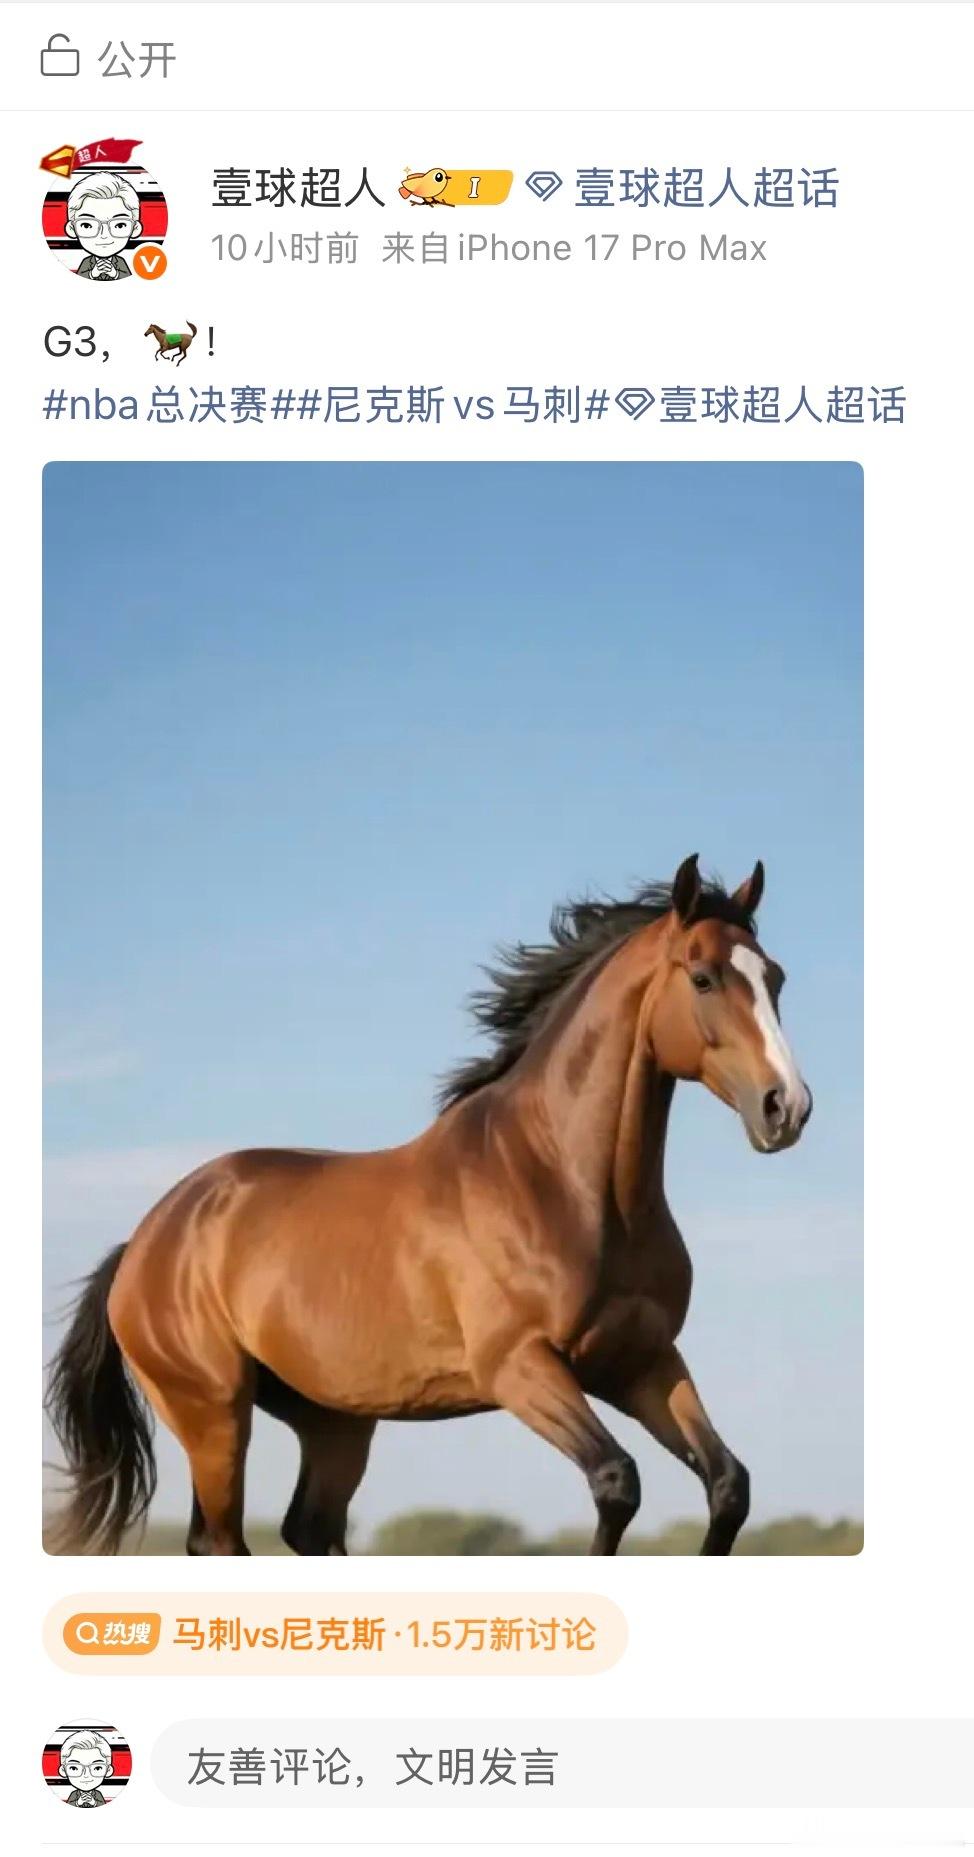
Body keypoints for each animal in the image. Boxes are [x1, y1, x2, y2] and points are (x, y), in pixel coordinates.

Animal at [46, 854, 812, 1558]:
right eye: (703, 977)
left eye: (774, 978)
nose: (787, 1107)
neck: (563, 1182)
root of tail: (145, 1242)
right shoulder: (521, 1369)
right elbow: (617, 1481)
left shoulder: (642, 1361)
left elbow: (728, 1485)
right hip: (212, 1413)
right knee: (222, 1539)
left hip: (334, 1419)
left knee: (310, 1528)